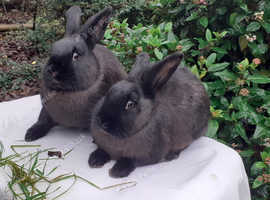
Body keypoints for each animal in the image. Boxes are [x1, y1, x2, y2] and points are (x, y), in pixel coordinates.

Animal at [24, 5, 126, 141]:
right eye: (51, 50)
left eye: (75, 56)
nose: (53, 72)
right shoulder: (46, 109)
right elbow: (43, 119)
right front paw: (30, 135)